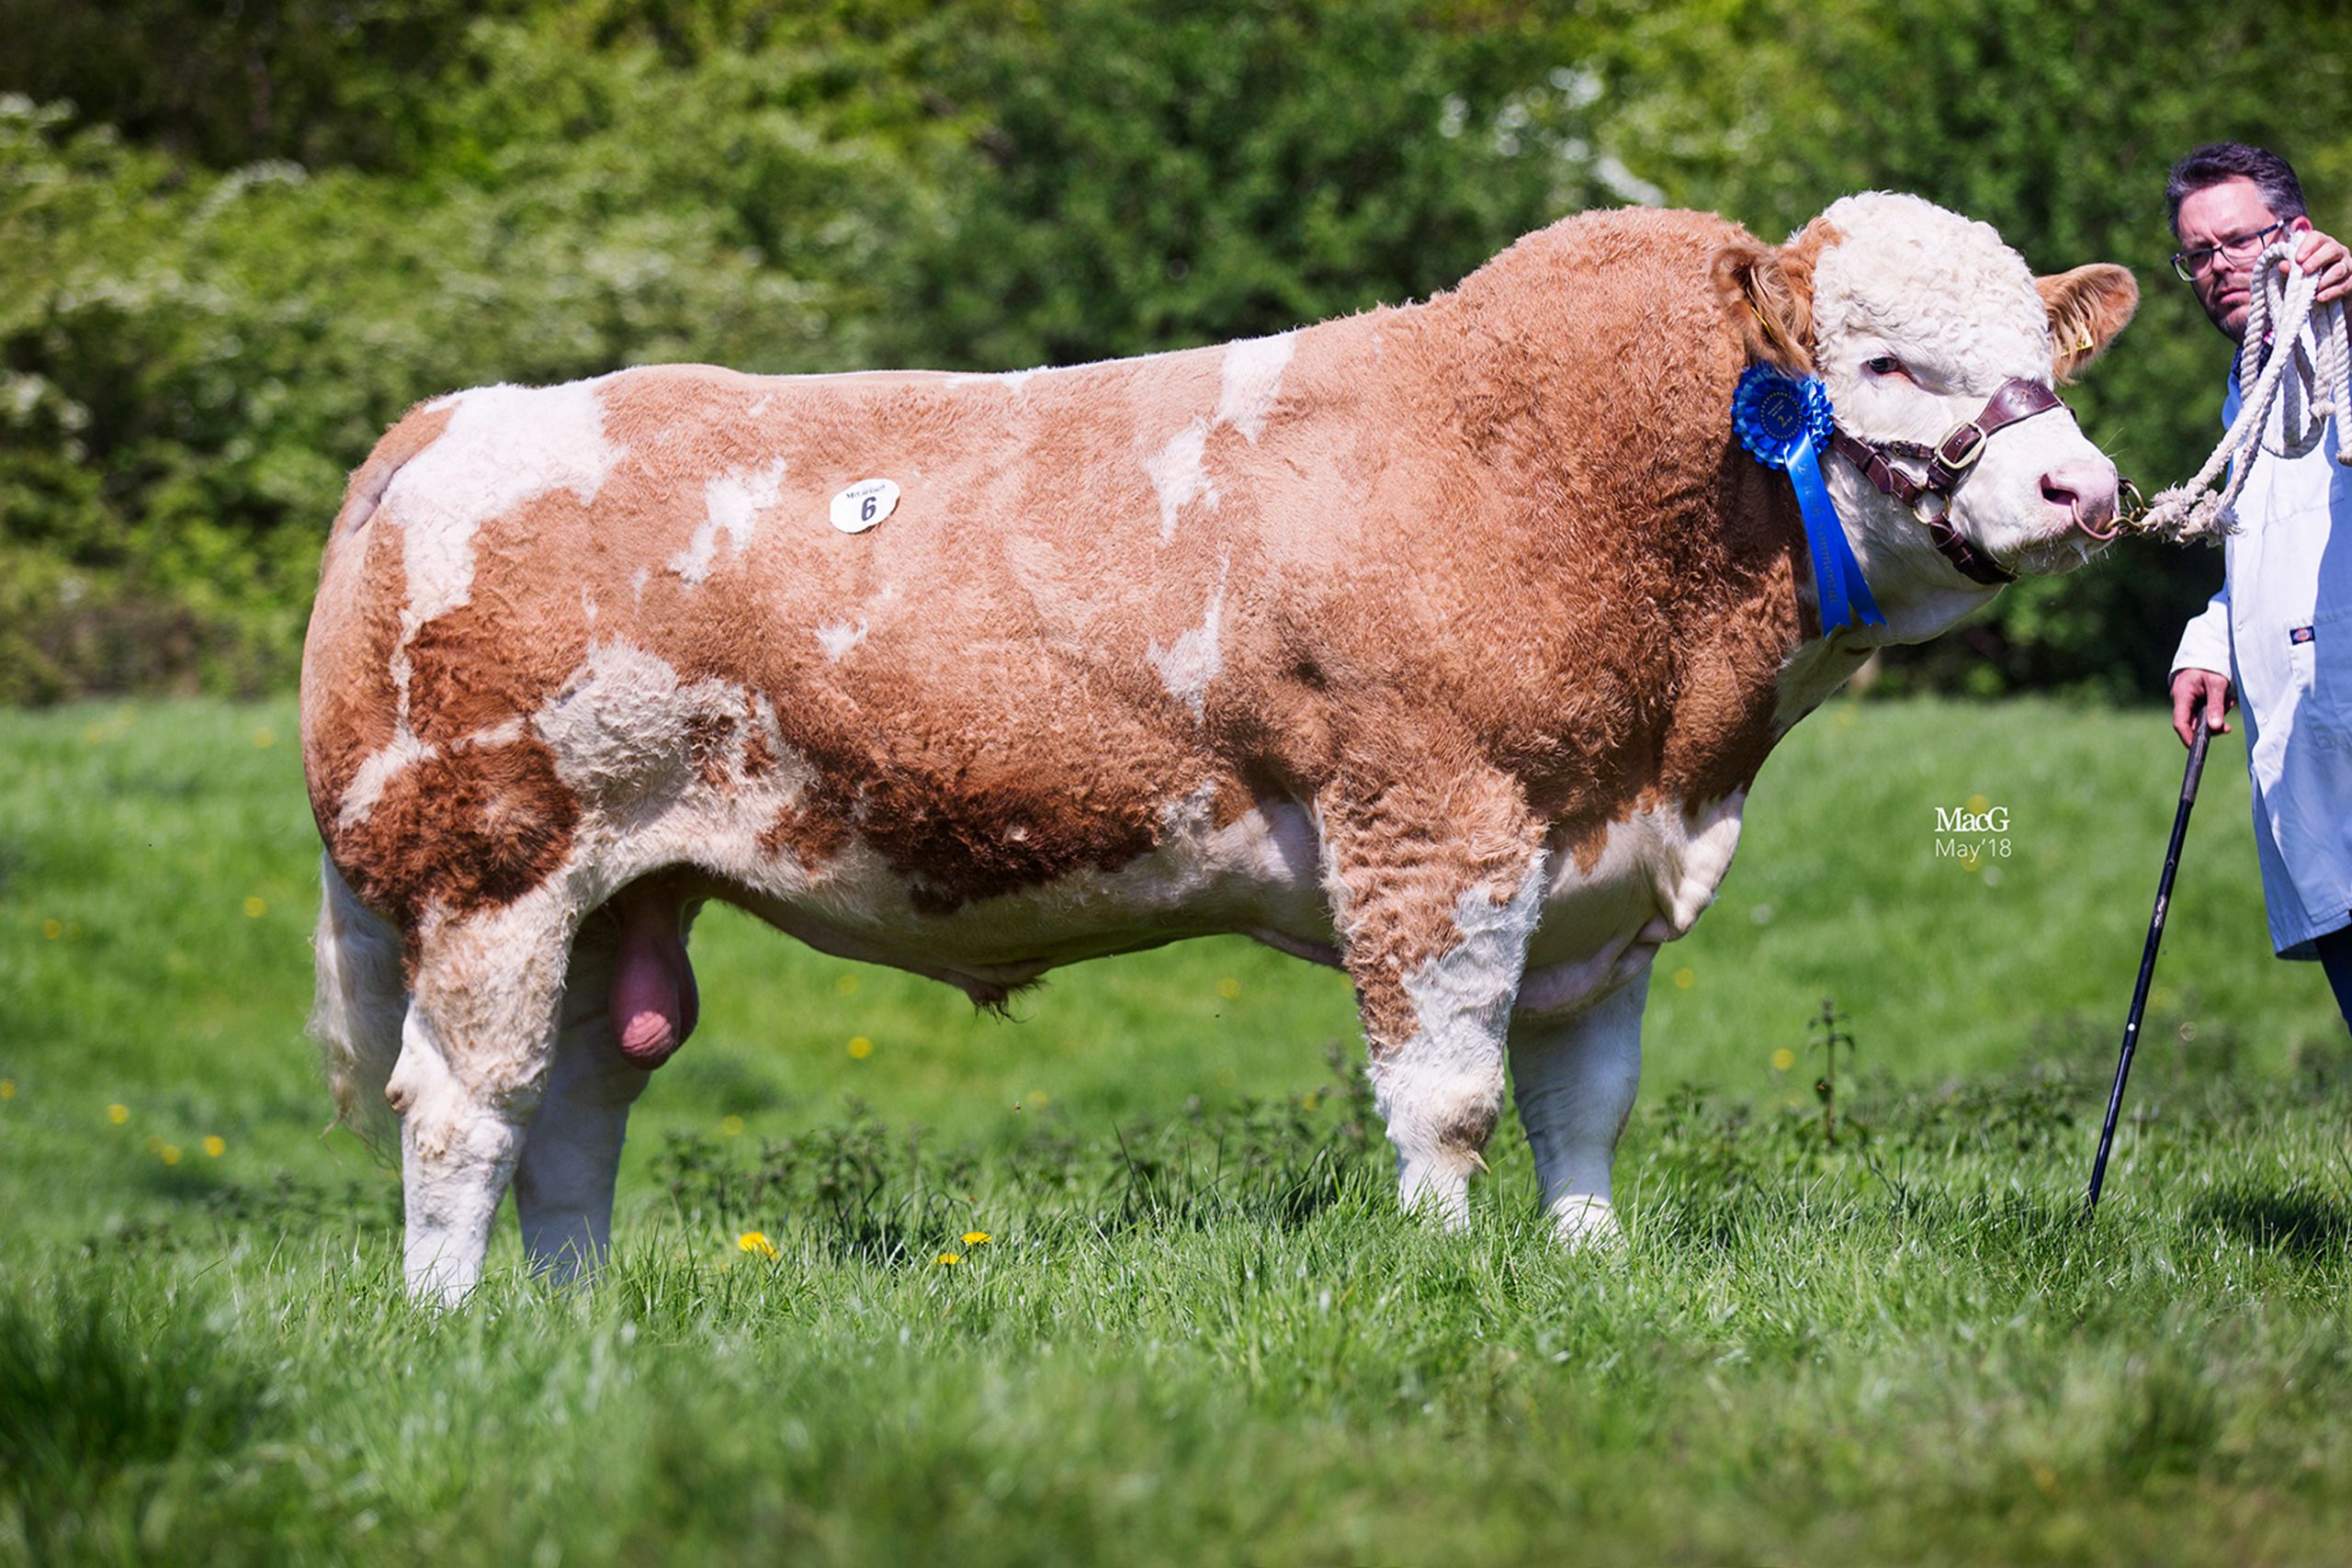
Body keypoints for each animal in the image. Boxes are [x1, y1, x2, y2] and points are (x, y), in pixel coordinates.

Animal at [302, 193, 2139, 1304]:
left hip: (620, 882)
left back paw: (574, 1314)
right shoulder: (1433, 826)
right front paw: (1446, 1275)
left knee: (583, 1098)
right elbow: (1450, 1092)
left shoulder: (1601, 877)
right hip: (486, 866)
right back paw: (455, 1318)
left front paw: (1589, 1262)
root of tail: (460, 413)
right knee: (465, 1102)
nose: (2085, 488)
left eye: (2038, 356)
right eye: (1886, 360)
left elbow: (1586, 1101)